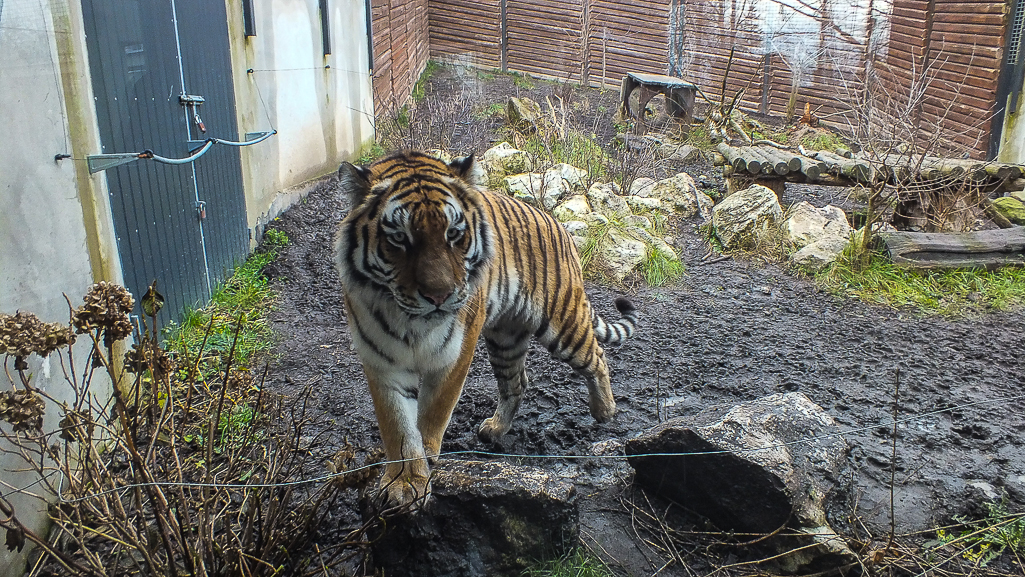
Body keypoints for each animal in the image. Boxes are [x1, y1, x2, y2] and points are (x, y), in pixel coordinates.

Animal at [332, 150, 635, 510]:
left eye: (453, 234)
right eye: (399, 239)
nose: (439, 296)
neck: (412, 322)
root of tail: (556, 223)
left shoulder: (455, 354)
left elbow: (434, 409)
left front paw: (427, 453)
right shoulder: (382, 363)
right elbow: (398, 427)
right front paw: (405, 482)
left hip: (563, 324)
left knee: (597, 357)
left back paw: (605, 411)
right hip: (506, 338)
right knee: (517, 382)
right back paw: (496, 429)